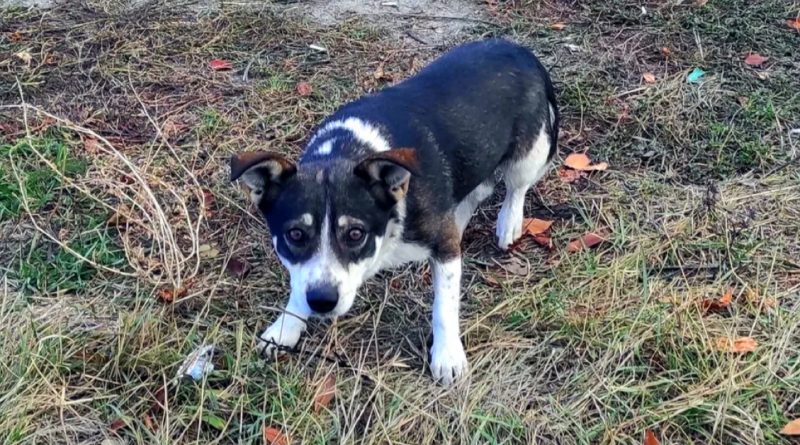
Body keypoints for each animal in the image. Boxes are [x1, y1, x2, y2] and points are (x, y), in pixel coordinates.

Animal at [230, 39, 556, 386]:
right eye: (295, 234)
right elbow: (298, 285)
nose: (322, 302)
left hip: (530, 152)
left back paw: (509, 222)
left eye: (355, 234)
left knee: (516, 187)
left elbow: (444, 306)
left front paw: (447, 356)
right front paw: (286, 327)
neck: (346, 152)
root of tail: (519, 48)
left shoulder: (443, 246)